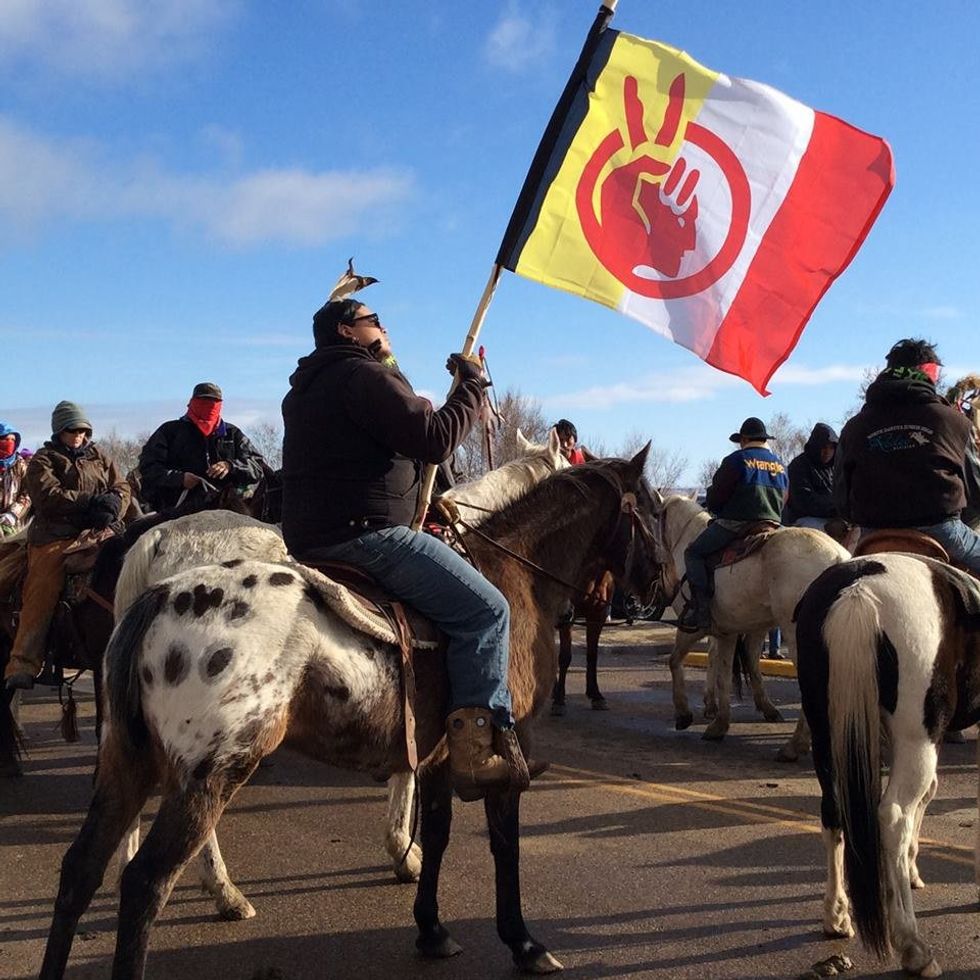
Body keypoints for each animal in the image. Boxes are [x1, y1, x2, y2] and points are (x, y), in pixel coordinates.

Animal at [644, 490, 848, 756]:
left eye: (655, 516)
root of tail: (837, 558)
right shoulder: (734, 632)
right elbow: (735, 669)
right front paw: (724, 721)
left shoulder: (693, 627)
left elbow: (676, 661)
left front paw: (684, 714)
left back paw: (795, 746)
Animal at [796, 556, 980, 976]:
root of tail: (860, 590)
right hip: (915, 739)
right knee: (894, 815)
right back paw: (914, 947)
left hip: (827, 736)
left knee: (834, 814)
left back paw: (837, 916)